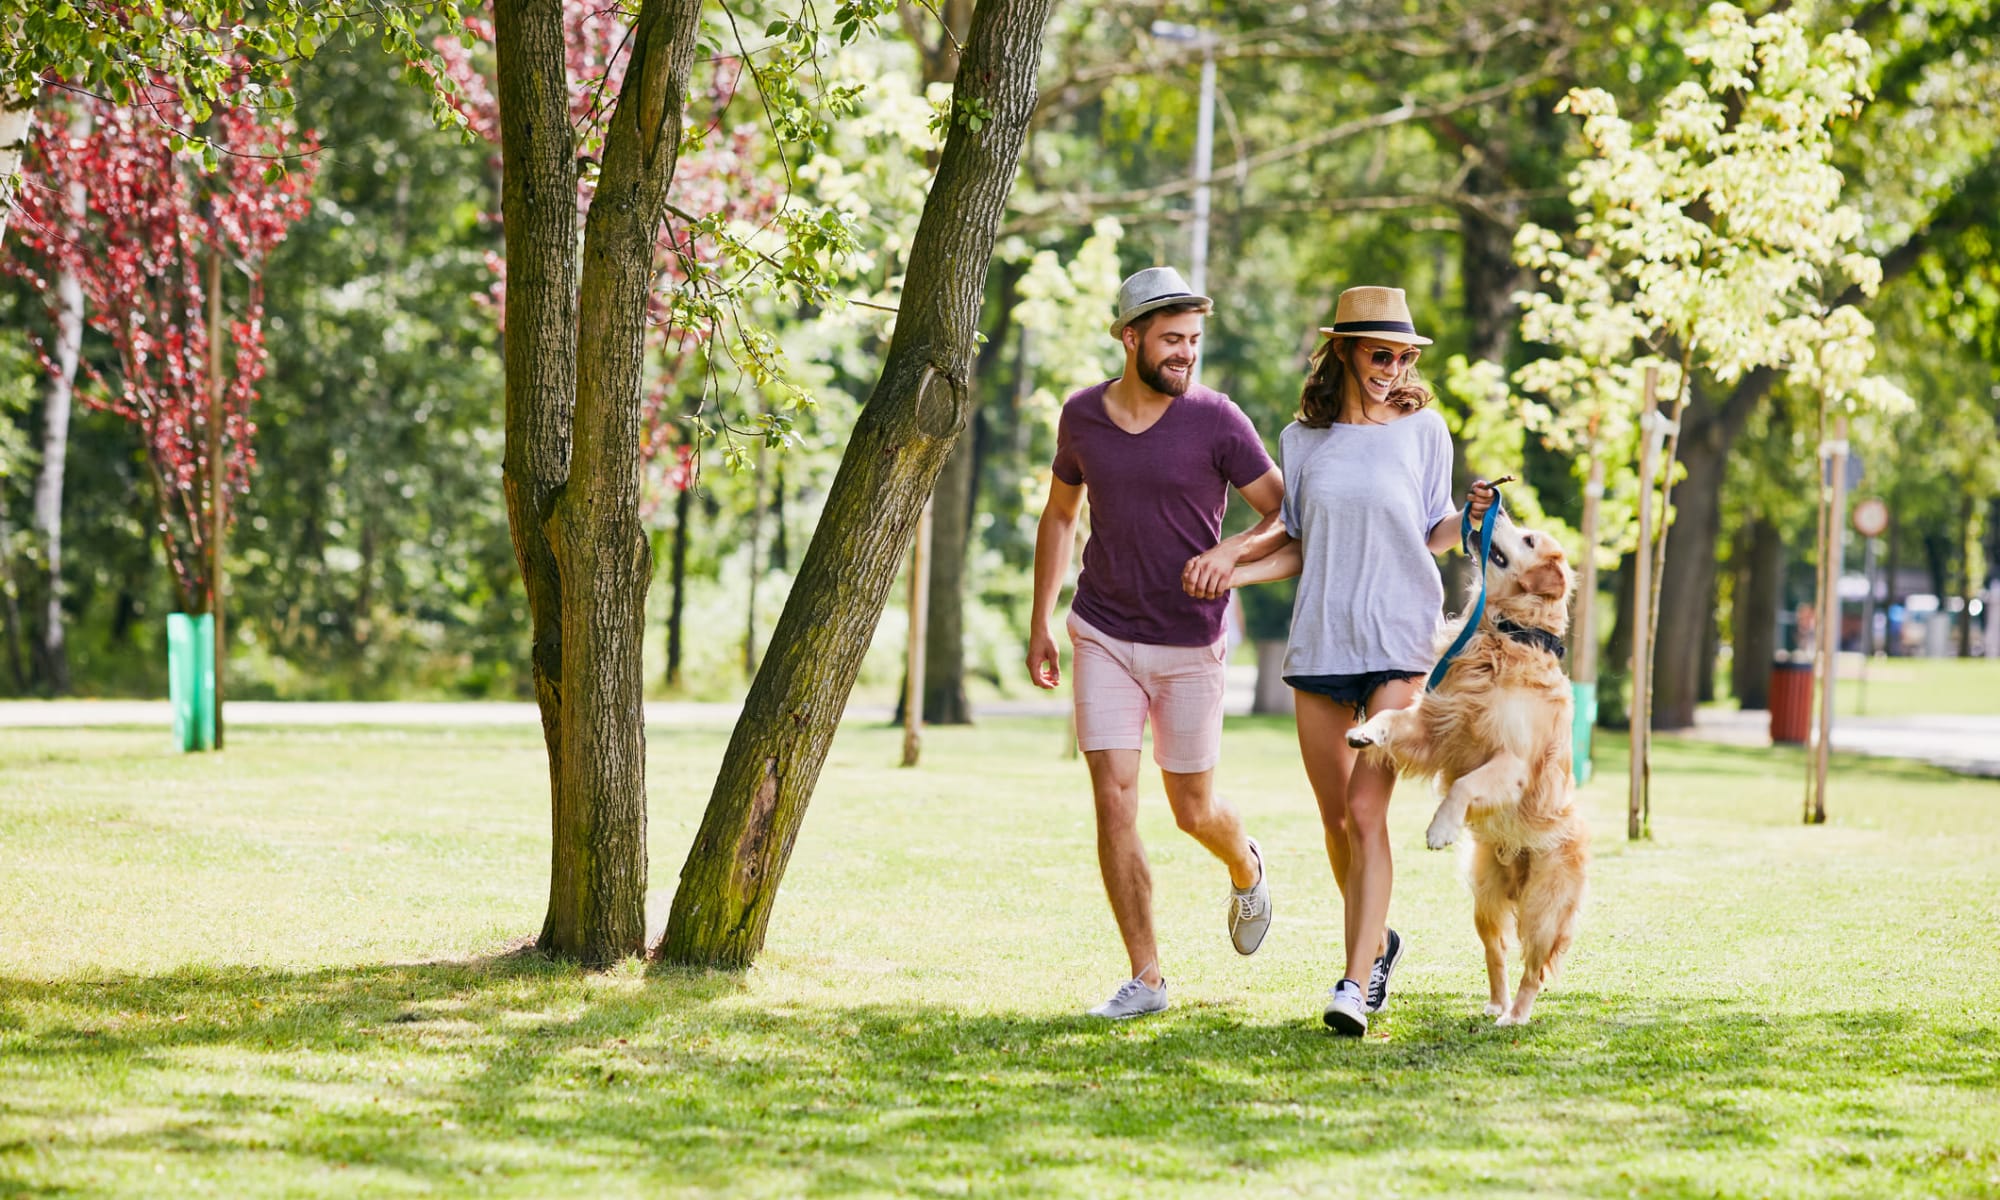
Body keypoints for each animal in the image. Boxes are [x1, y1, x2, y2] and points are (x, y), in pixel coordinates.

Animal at [1352, 520, 1584, 1024]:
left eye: (1530, 540)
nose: (1493, 512)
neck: (1506, 633)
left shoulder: (1511, 764)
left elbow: (1464, 783)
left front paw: (1440, 828)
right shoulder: (1435, 725)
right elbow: (1391, 717)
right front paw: (1364, 732)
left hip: (1544, 906)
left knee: (1533, 970)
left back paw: (1514, 1015)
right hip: (1484, 898)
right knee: (1496, 953)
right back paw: (1495, 1004)